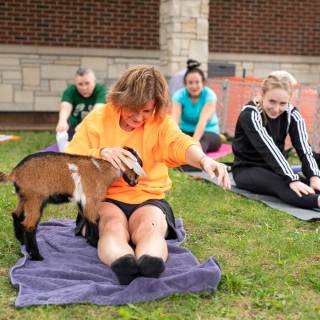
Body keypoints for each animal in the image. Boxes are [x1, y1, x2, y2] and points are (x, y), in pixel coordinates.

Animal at [0, 149, 142, 262]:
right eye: (137, 167)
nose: (135, 183)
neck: (102, 170)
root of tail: (15, 172)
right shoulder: (91, 199)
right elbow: (94, 219)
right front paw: (95, 243)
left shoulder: (82, 200)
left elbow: (87, 218)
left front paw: (89, 240)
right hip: (35, 199)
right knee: (29, 225)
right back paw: (36, 256)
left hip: (23, 197)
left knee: (16, 215)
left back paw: (22, 241)